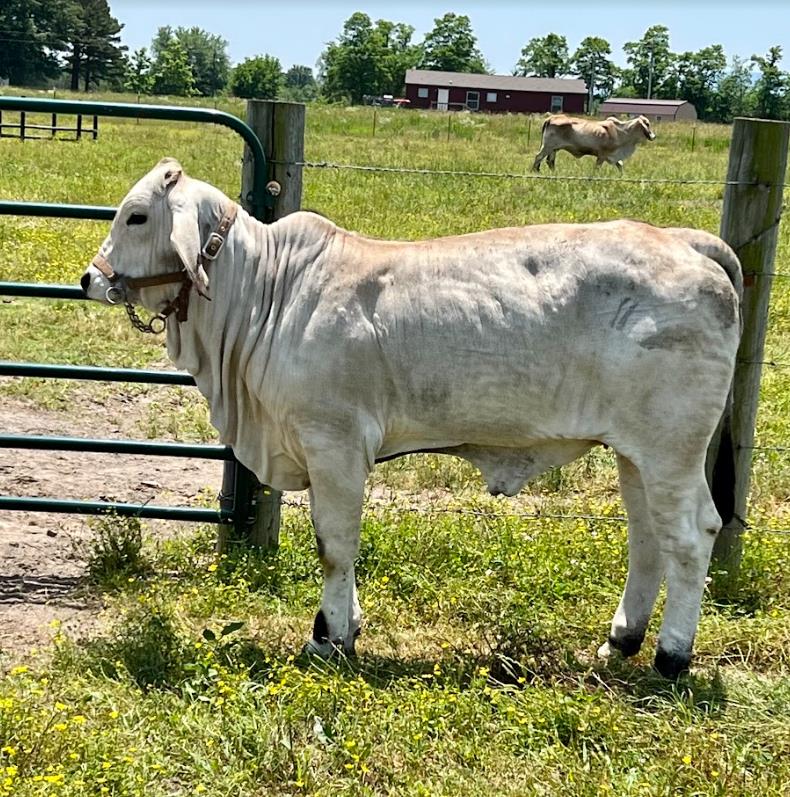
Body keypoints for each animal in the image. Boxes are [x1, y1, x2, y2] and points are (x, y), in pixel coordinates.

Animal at [83, 157, 744, 676]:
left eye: (136, 216)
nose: (90, 278)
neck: (269, 290)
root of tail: (687, 242)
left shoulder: (335, 444)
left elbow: (335, 545)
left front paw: (331, 639)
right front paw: (337, 628)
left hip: (671, 448)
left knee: (692, 535)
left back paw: (672, 657)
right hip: (635, 452)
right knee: (647, 537)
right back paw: (621, 640)